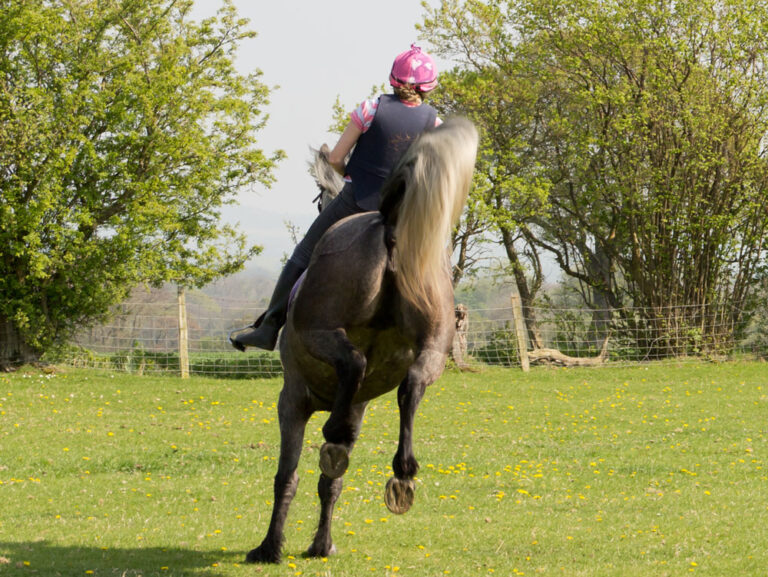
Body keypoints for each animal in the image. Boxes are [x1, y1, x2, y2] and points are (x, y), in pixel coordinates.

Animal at [246, 117, 478, 564]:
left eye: (320, 200)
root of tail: (387, 224)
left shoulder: (292, 400)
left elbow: (288, 476)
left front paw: (270, 547)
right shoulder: (356, 406)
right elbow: (329, 482)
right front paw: (321, 543)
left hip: (320, 334)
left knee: (353, 363)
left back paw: (342, 439)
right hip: (434, 348)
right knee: (411, 386)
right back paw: (403, 471)